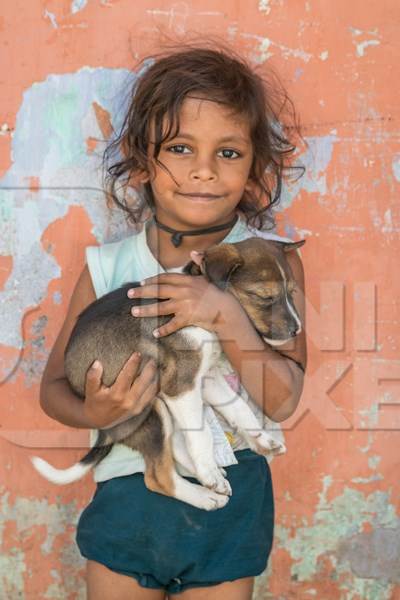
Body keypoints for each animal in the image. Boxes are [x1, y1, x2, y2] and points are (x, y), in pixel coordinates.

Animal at [32, 237, 304, 508]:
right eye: (264, 297)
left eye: (292, 293)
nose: (297, 331)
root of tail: (104, 431)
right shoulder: (181, 383)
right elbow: (201, 433)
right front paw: (209, 473)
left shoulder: (205, 377)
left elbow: (238, 407)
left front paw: (262, 440)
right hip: (145, 411)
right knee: (157, 476)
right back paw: (206, 493)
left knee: (174, 448)